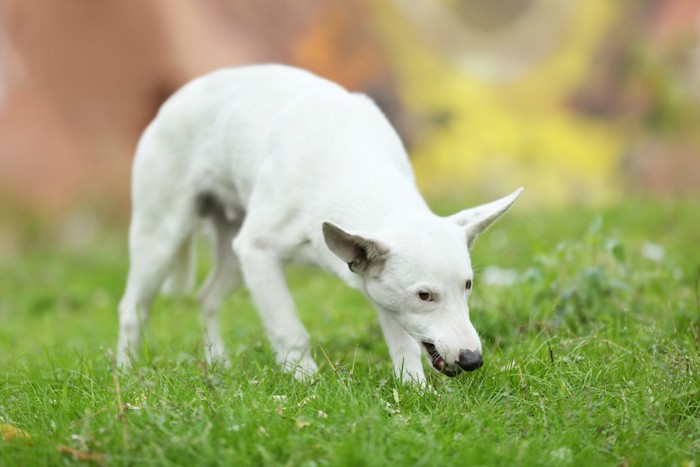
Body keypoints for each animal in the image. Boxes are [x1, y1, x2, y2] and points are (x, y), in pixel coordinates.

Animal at [116, 64, 520, 384]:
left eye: (468, 285)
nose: (473, 360)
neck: (353, 164)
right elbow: (290, 330)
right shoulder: (258, 253)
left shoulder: (382, 295)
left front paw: (414, 389)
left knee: (208, 296)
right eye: (425, 295)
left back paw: (218, 361)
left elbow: (404, 342)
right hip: (161, 240)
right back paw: (126, 372)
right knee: (132, 309)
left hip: (232, 254)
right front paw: (306, 383)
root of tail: (173, 100)